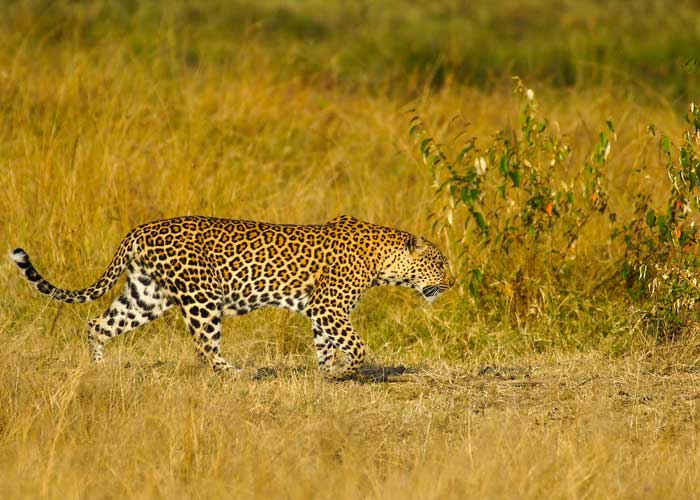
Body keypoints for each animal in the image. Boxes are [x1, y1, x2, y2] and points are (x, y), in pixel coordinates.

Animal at [13, 214, 456, 378]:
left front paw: (328, 372)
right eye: (439, 262)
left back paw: (99, 369)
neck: (384, 260)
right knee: (204, 344)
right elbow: (357, 346)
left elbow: (327, 345)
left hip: (147, 295)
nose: (452, 284)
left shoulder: (320, 312)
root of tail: (141, 229)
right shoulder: (328, 306)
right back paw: (235, 372)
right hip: (202, 296)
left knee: (98, 323)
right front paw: (348, 371)